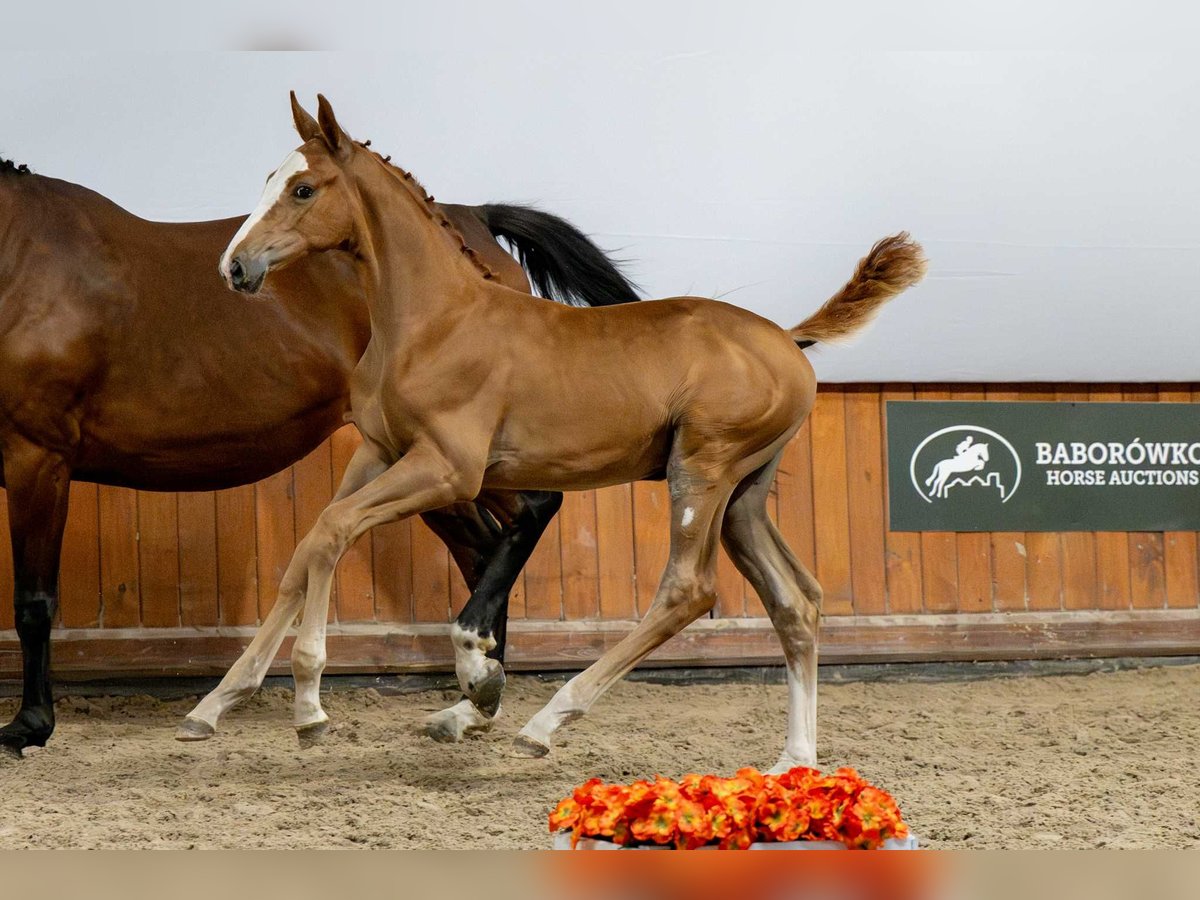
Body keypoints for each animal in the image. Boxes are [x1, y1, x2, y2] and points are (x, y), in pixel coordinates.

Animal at [0, 144, 639, 758]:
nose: (239, 269)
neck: (21, 260)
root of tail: (475, 222)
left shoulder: (37, 458)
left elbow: (33, 602)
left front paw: (29, 726)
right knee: (483, 547)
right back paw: (475, 695)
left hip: (455, 463)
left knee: (525, 515)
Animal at [183, 93, 925, 771]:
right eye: (270, 179)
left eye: (303, 188)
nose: (235, 266)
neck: (433, 321)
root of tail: (789, 339)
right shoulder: (378, 452)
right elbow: (305, 549)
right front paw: (214, 705)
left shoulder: (448, 469)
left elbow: (334, 532)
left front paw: (312, 705)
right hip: (744, 497)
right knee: (796, 600)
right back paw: (795, 759)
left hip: (701, 469)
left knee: (688, 590)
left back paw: (546, 722)